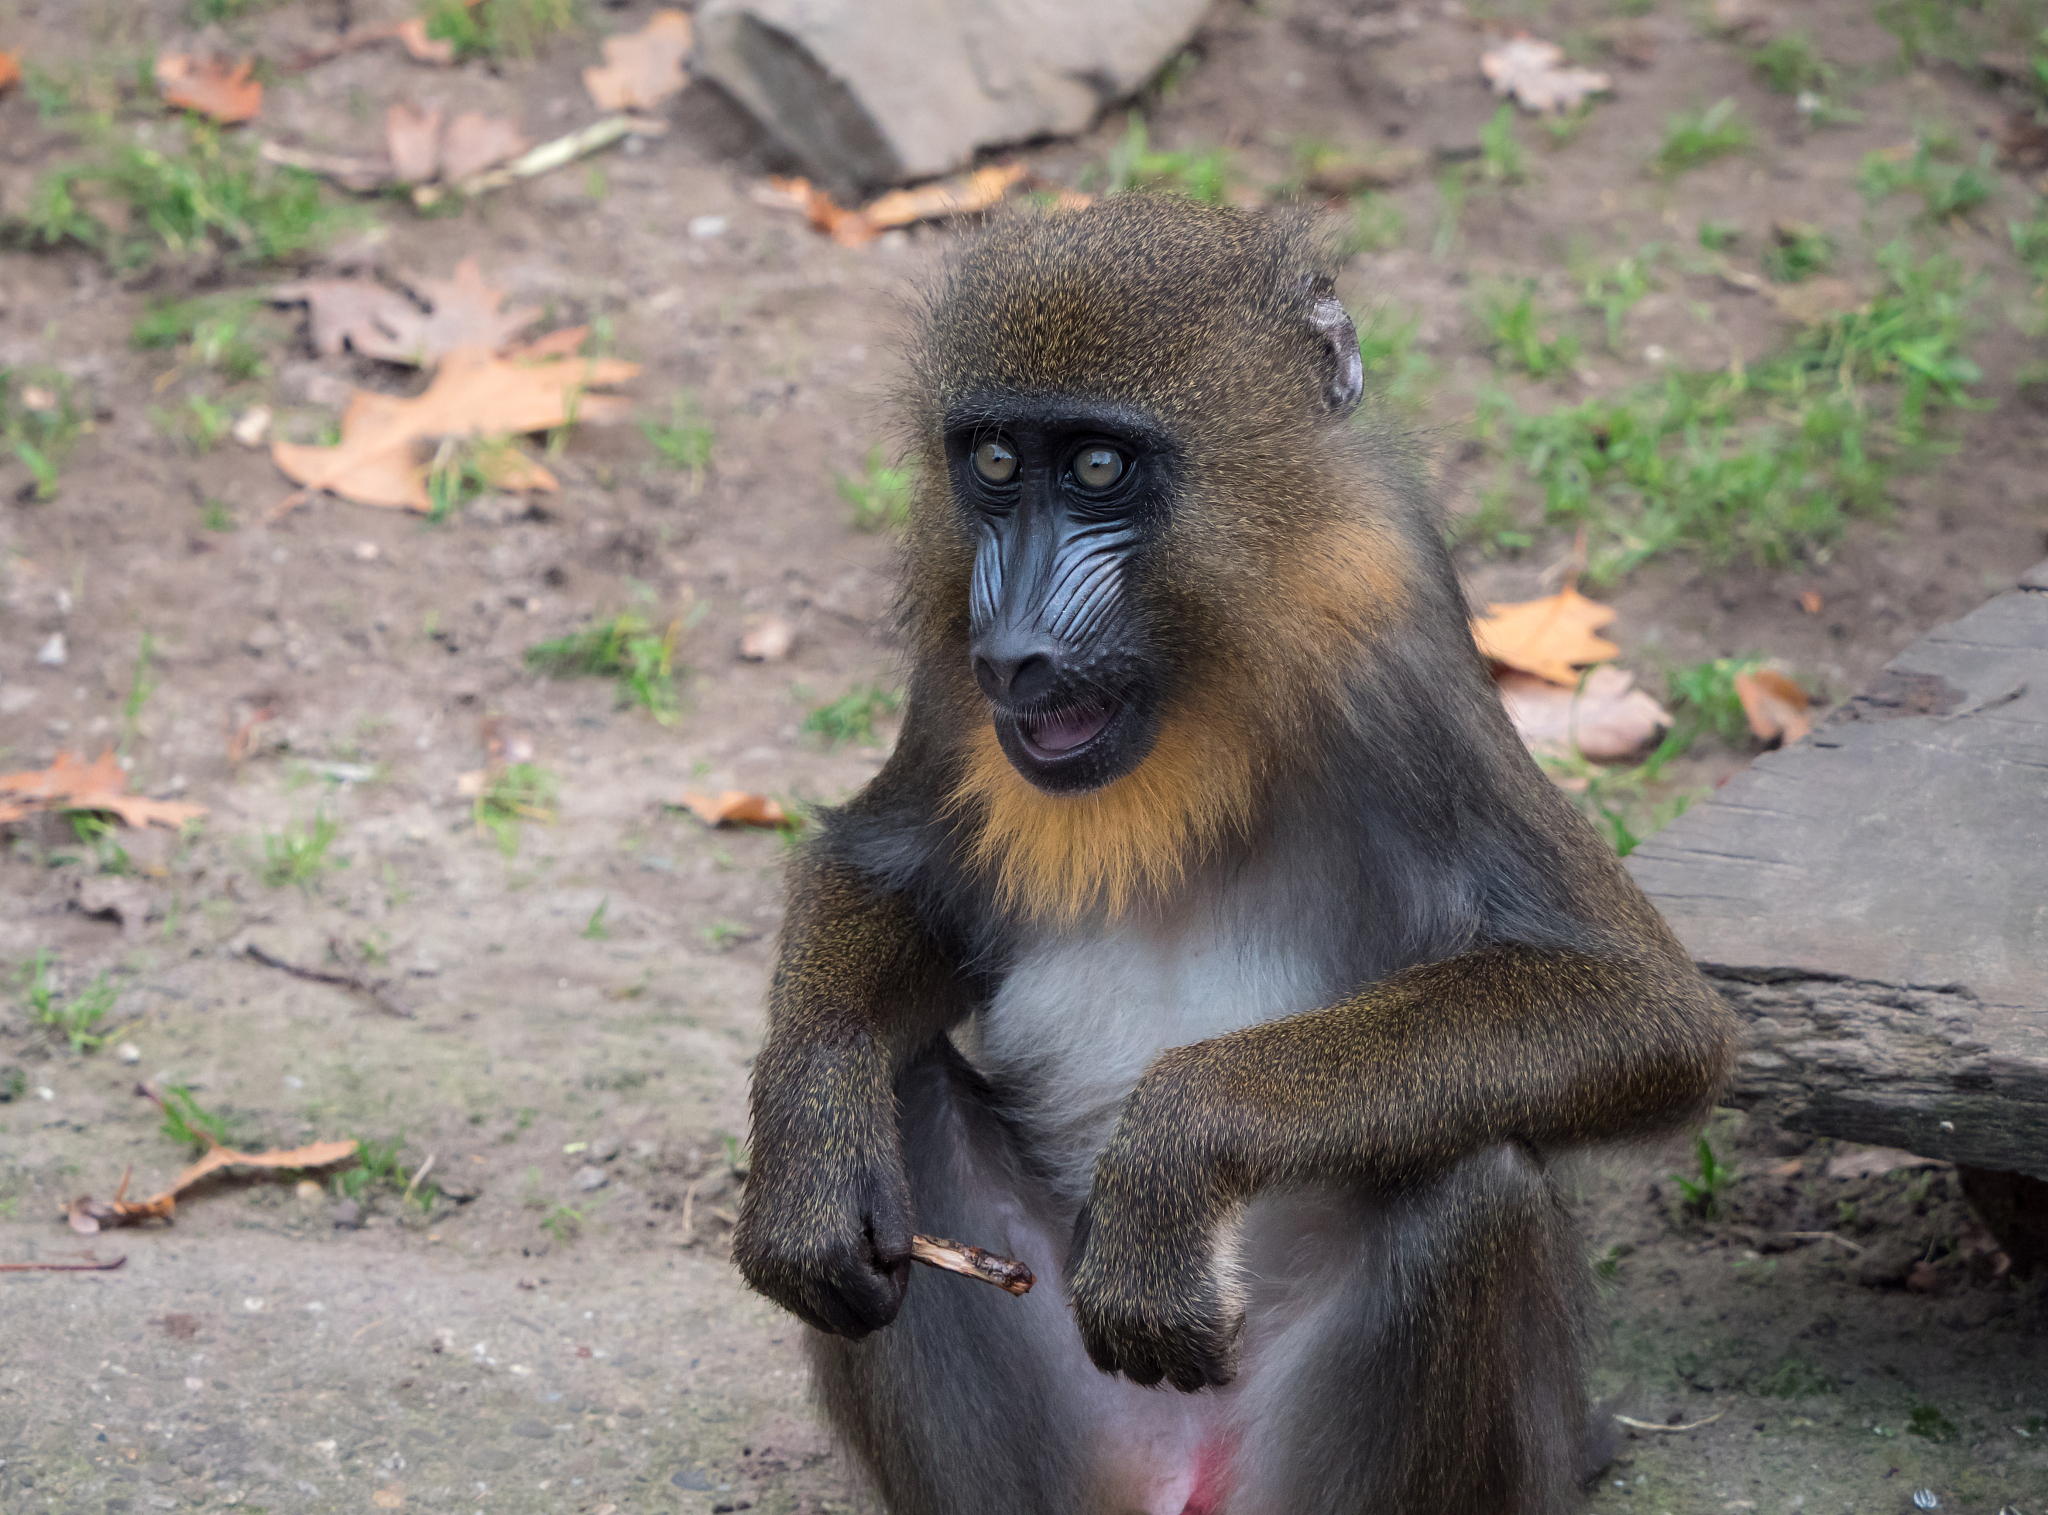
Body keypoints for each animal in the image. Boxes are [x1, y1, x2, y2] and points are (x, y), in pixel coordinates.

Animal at [731, 195, 1738, 1515]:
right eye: (994, 463)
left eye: (1097, 468)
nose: (1014, 649)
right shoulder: (950, 682)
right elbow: (883, 876)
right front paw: (806, 1154)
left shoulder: (1391, 659)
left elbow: (1641, 1006)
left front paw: (1175, 1151)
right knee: (900, 1091)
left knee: (1466, 1188)